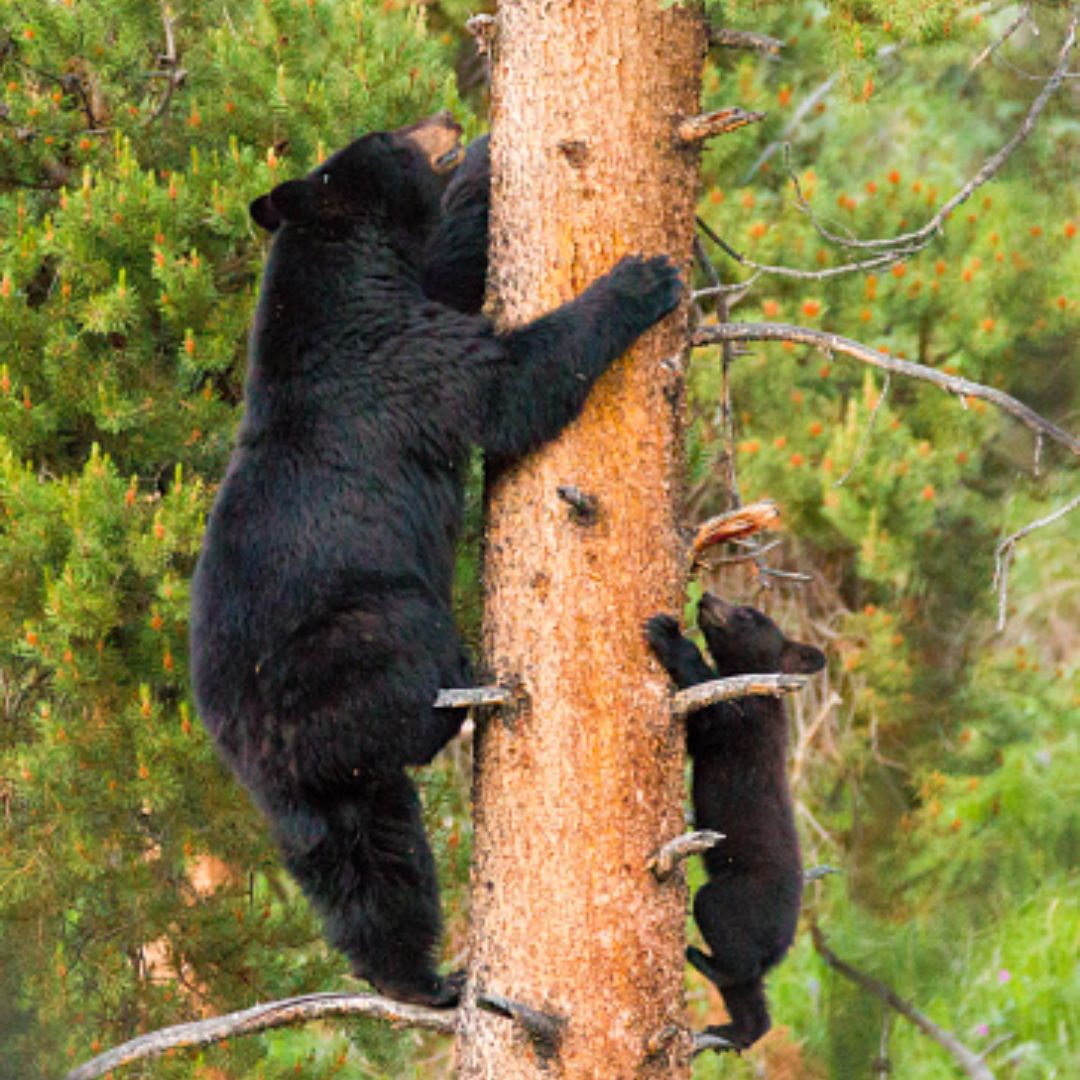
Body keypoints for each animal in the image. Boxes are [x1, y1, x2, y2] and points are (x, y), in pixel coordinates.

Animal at [192, 113, 682, 1006]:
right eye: (387, 135)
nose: (445, 120)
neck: (337, 293)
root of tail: (255, 755)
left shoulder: (408, 301)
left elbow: (453, 262)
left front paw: (490, 148)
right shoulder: (403, 365)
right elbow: (511, 384)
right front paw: (640, 279)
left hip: (329, 802)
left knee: (373, 871)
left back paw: (421, 979)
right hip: (351, 640)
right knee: (406, 672)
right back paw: (463, 682)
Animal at [639, 596, 825, 1049]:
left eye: (748, 614)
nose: (706, 597)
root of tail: (783, 943)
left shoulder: (744, 722)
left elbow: (710, 716)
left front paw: (669, 636)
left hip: (737, 899)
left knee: (728, 943)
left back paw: (703, 960)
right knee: (750, 990)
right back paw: (737, 1030)